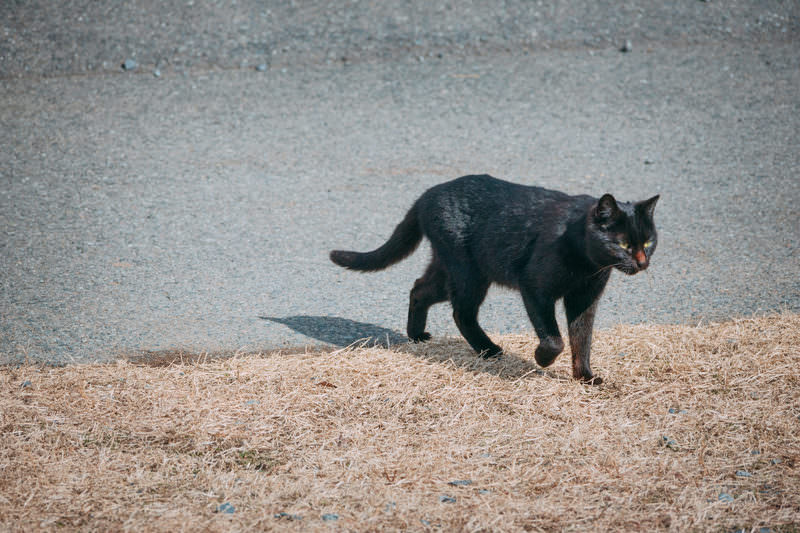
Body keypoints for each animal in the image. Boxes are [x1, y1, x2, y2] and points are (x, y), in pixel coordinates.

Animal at [328, 175, 660, 382]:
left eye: (648, 242)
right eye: (623, 244)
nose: (642, 262)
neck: (587, 263)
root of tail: (426, 195)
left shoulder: (584, 299)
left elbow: (582, 339)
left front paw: (586, 378)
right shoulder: (535, 288)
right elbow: (555, 338)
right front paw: (542, 359)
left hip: (453, 269)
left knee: (419, 290)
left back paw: (417, 336)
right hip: (468, 273)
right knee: (460, 312)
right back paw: (488, 349)